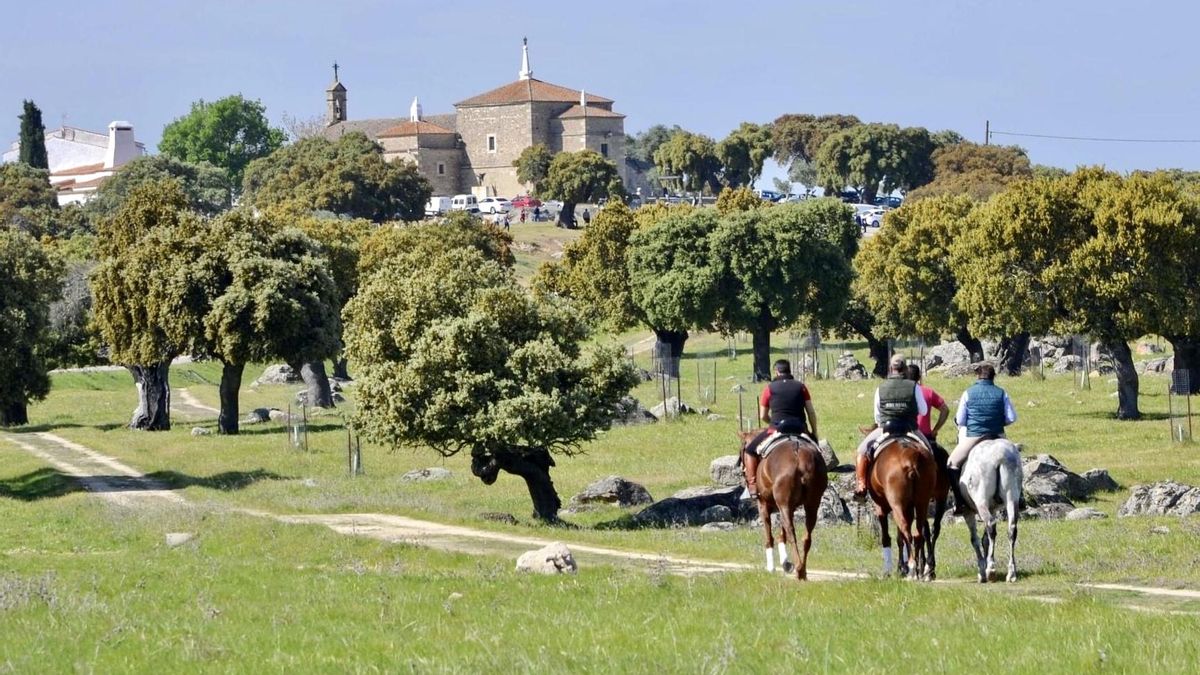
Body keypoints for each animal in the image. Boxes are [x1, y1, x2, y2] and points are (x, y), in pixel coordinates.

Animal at [734, 429, 830, 578]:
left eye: (742, 451)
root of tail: (800, 456)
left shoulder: (764, 505)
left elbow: (770, 536)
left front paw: (771, 567)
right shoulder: (787, 507)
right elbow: (781, 533)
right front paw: (786, 563)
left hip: (784, 504)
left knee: (791, 531)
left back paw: (799, 569)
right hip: (811, 505)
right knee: (806, 537)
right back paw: (802, 570)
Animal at [868, 432, 940, 581]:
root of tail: (911, 457)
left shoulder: (881, 507)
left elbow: (887, 538)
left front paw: (893, 570)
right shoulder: (908, 508)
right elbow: (900, 538)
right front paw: (902, 567)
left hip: (897, 505)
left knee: (908, 532)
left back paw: (913, 568)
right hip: (921, 503)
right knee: (918, 534)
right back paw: (919, 569)